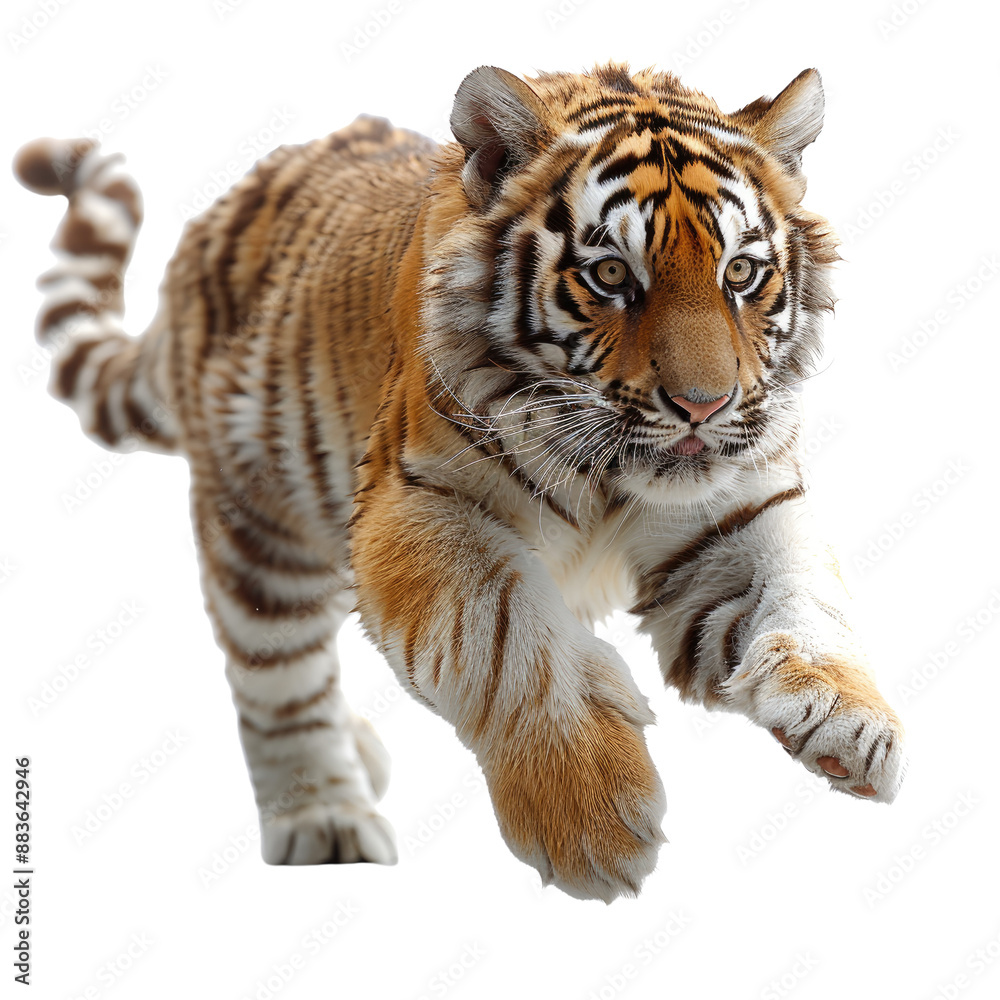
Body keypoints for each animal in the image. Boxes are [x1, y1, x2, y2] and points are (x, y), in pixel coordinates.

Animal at [14, 62, 906, 902]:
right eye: (613, 276)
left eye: (742, 274)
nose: (703, 404)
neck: (614, 475)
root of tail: (216, 218)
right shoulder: (417, 502)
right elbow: (503, 629)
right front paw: (591, 812)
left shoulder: (736, 507)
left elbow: (800, 591)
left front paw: (850, 721)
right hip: (263, 532)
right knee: (278, 681)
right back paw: (324, 816)